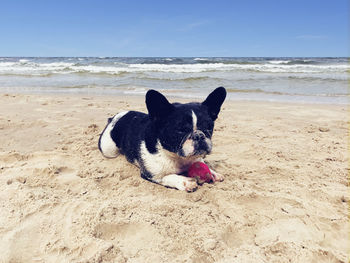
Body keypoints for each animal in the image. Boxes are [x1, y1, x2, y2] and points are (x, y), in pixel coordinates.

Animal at [98, 87, 227, 193]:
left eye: (209, 127)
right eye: (180, 130)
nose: (199, 135)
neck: (179, 158)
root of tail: (115, 117)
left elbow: (202, 162)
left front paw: (213, 173)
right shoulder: (153, 174)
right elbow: (168, 176)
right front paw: (185, 182)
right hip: (109, 149)